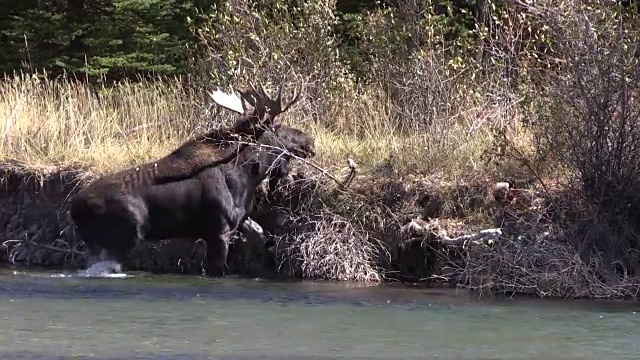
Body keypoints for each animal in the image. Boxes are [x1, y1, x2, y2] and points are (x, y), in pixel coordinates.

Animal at [70, 83, 312, 278]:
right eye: (278, 128)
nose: (309, 140)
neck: (247, 174)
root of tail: (74, 208)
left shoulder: (241, 220)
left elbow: (260, 235)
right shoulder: (219, 232)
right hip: (122, 238)